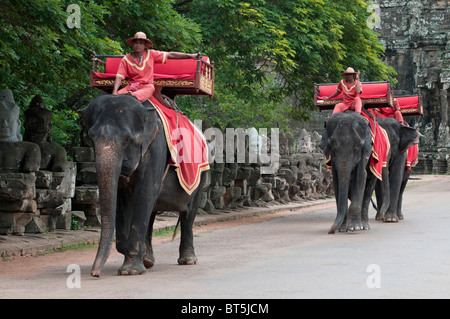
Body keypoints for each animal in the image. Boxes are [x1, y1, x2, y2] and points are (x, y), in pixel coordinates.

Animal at [80, 95, 207, 278]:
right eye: (91, 138)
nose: (95, 274)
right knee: (152, 212)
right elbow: (122, 199)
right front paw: (139, 258)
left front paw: (130, 271)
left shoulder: (156, 148)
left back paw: (188, 261)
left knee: (188, 213)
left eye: (127, 139)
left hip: (203, 173)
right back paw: (149, 260)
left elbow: (144, 193)